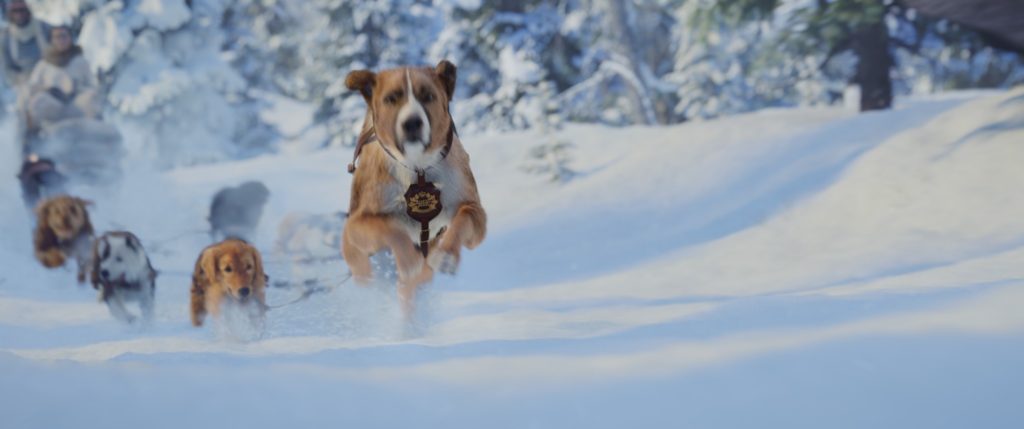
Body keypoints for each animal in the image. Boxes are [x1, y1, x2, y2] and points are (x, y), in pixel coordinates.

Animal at [344, 60, 487, 317]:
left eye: (428, 96)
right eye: (391, 98)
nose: (412, 123)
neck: (417, 167)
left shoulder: (474, 211)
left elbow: (464, 217)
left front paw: (447, 255)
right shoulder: (357, 224)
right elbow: (391, 229)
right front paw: (409, 261)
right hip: (356, 254)